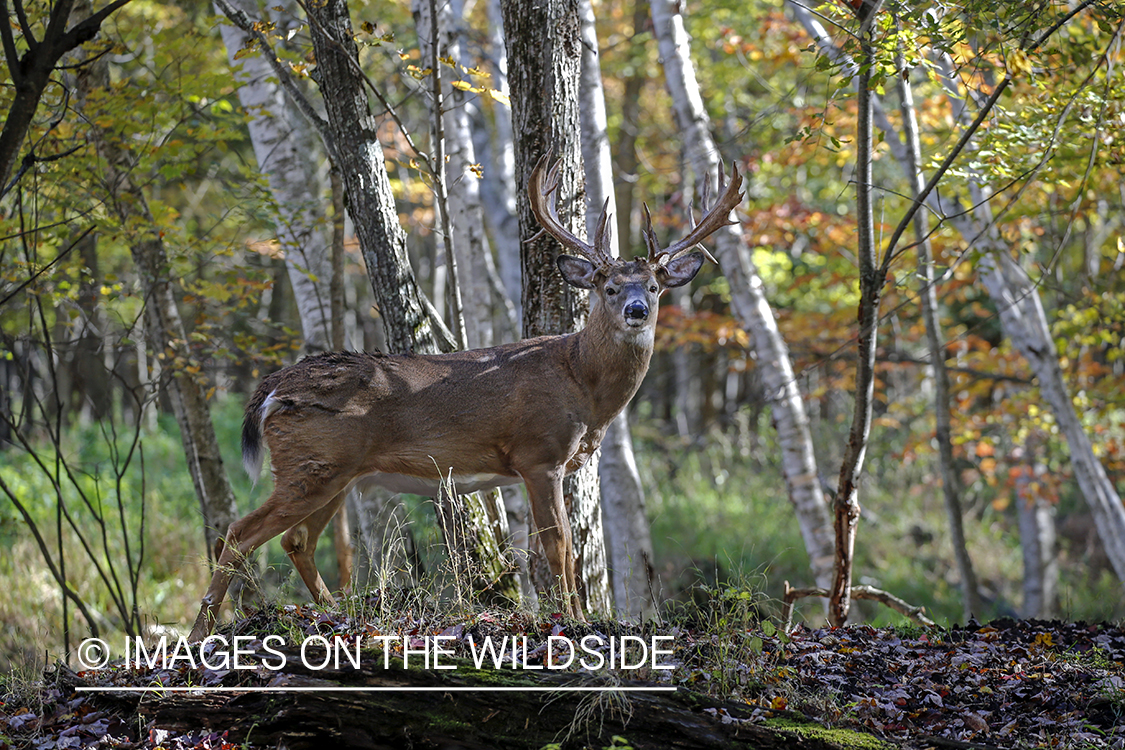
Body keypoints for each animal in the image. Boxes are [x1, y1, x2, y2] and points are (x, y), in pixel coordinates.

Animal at [189, 157, 742, 638]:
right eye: (607, 287)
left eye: (654, 286)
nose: (635, 310)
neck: (582, 384)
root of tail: (273, 387)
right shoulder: (538, 454)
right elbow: (559, 545)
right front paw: (575, 621)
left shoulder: (555, 463)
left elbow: (566, 549)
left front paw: (582, 616)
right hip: (312, 461)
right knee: (238, 533)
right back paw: (201, 631)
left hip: (337, 472)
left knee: (296, 539)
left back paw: (337, 614)